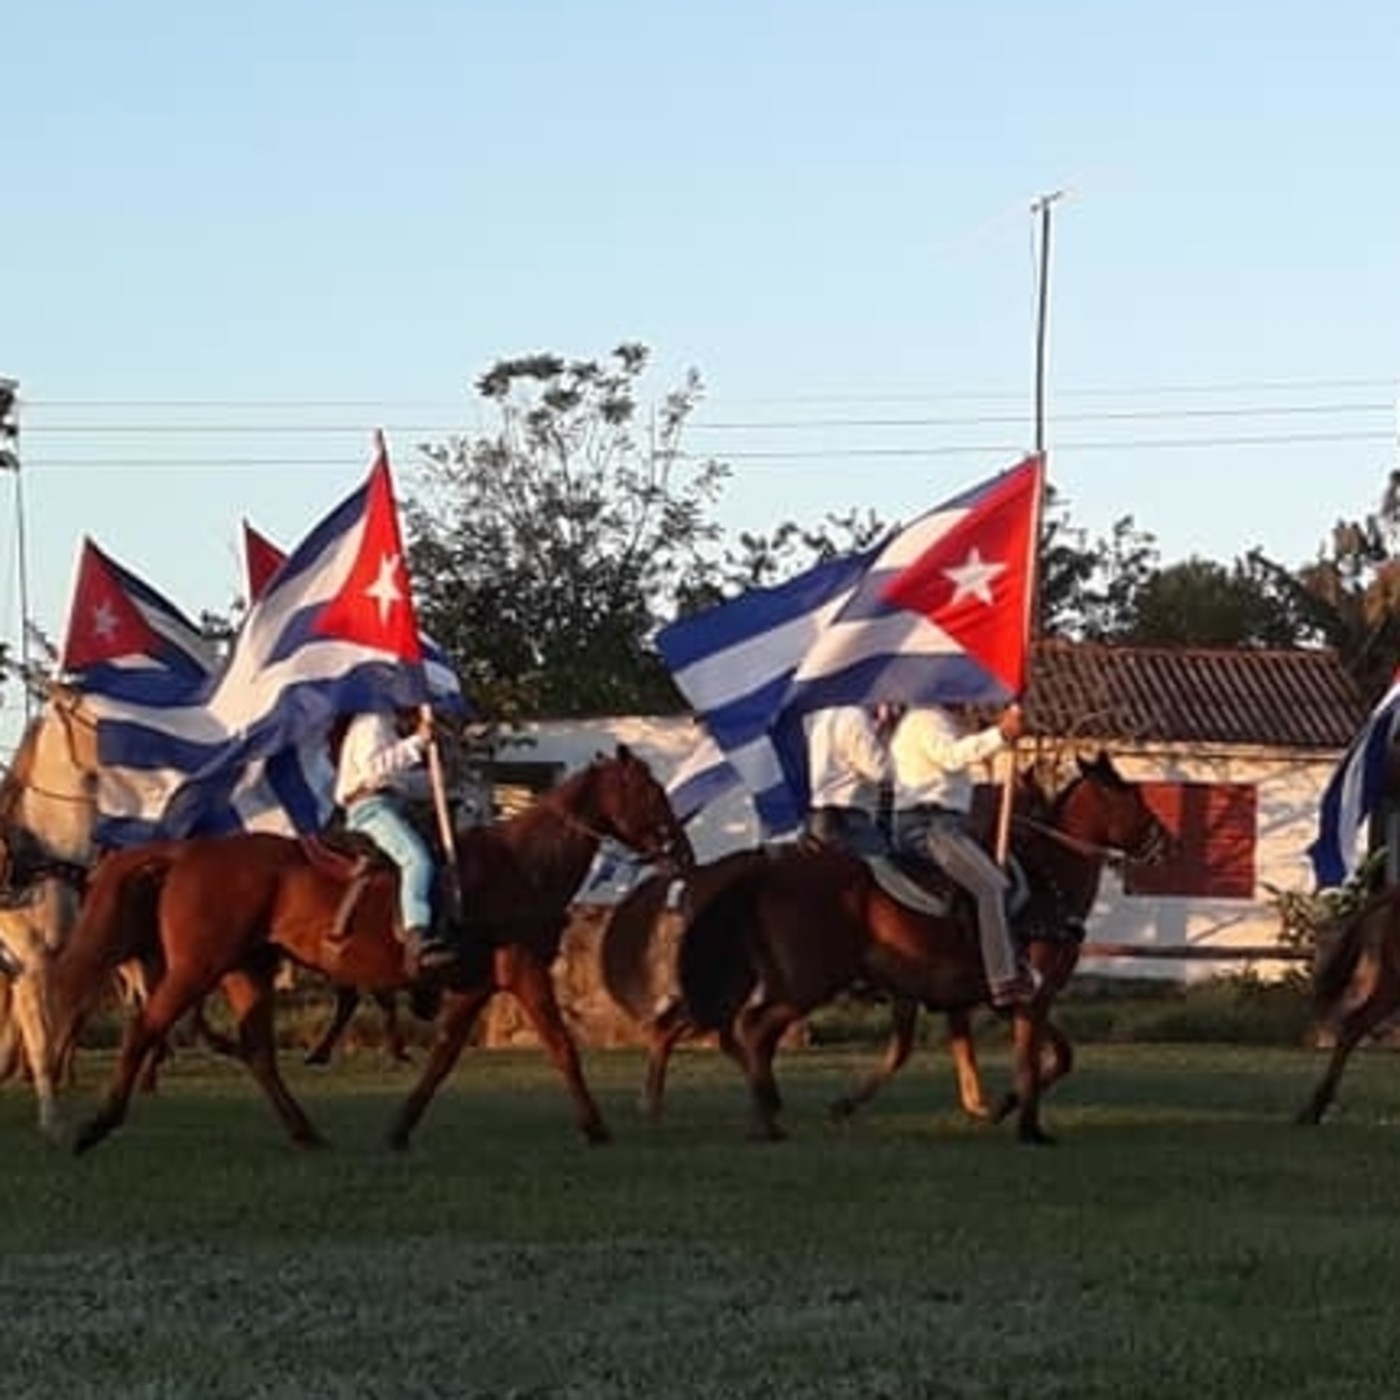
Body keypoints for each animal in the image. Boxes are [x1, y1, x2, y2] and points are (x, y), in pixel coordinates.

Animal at [49, 750, 694, 1153]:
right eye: (649, 791)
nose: (681, 851)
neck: (522, 864)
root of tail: (186, 853)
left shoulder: (475, 985)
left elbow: (443, 1057)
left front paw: (400, 1128)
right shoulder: (523, 970)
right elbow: (561, 1046)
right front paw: (596, 1127)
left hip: (246, 970)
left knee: (257, 1052)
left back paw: (306, 1133)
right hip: (197, 966)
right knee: (147, 1027)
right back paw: (95, 1125)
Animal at [672, 750, 1176, 1142]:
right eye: (1131, 795)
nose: (1165, 844)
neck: (1049, 880)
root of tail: (768, 874)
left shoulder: (996, 999)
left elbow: (1052, 1056)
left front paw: (1000, 1106)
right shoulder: (1029, 996)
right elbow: (1032, 1060)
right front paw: (1027, 1126)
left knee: (749, 1030)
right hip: (809, 982)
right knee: (756, 1029)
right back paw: (768, 1118)